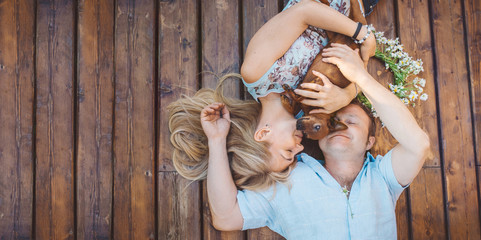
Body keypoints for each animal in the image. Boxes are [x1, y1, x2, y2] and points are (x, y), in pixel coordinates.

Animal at [282, 0, 368, 140]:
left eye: (315, 129)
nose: (298, 125)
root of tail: (356, 44)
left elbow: (297, 100)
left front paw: (290, 97)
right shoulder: (318, 83)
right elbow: (302, 94)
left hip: (332, 31)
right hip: (345, 24)